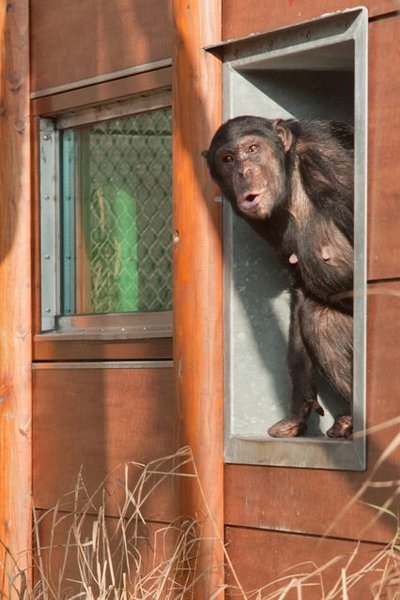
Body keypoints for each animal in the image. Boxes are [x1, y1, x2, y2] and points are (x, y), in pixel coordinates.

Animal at [203, 115, 354, 438]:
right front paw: (299, 407)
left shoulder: (333, 161)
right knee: (317, 318)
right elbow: (300, 289)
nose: (243, 172)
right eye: (228, 159)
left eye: (252, 149)